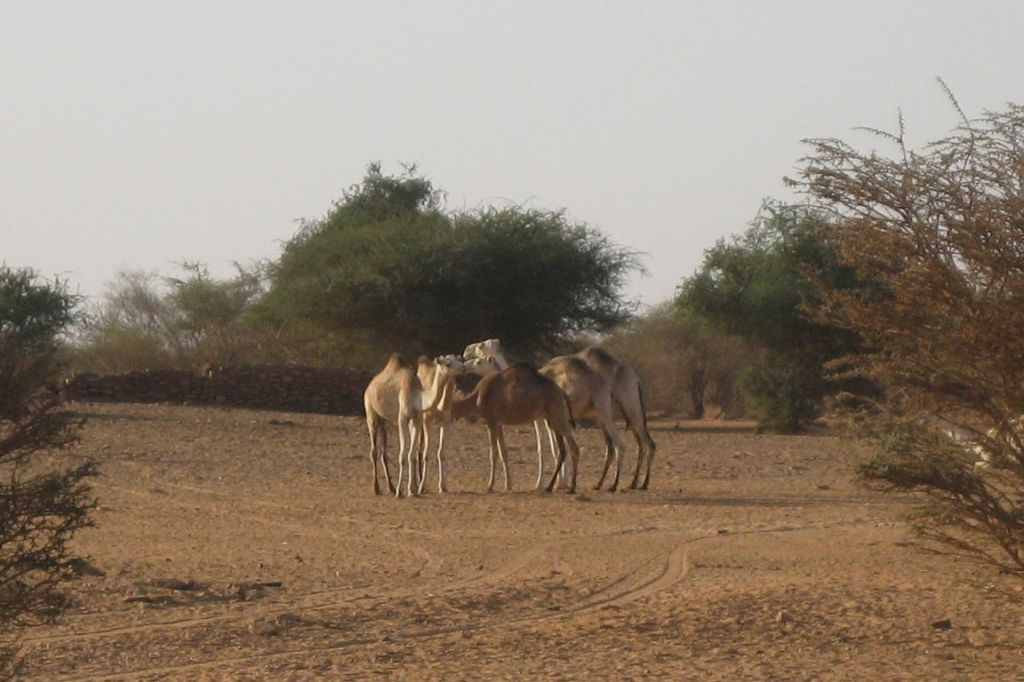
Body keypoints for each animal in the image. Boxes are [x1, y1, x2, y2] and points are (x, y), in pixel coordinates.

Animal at [452, 364, 581, 491]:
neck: (477, 398)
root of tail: (562, 393)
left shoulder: (491, 421)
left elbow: (493, 453)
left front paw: (490, 485)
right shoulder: (498, 423)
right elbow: (503, 452)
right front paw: (508, 485)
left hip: (557, 415)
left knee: (571, 447)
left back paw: (565, 487)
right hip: (552, 417)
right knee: (564, 449)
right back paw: (557, 486)